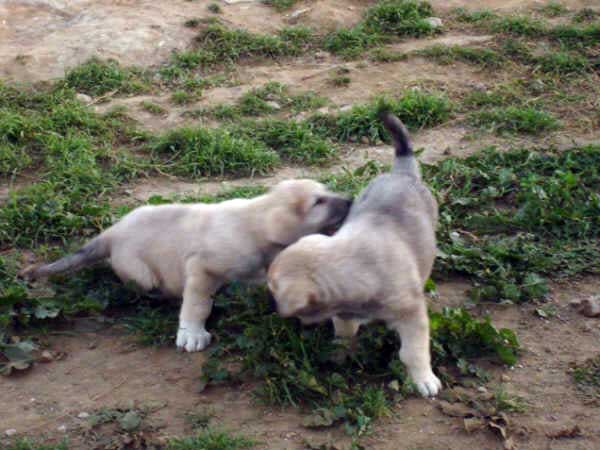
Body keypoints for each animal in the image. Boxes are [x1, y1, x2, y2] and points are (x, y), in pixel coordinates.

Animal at [21, 178, 352, 352]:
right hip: (141, 272)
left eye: (327, 192)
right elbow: (197, 305)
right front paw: (192, 334)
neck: (254, 223)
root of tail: (111, 232)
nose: (349, 200)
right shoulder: (202, 268)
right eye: (318, 202)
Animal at [268, 113, 440, 398]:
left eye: (273, 290)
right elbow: (345, 333)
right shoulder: (343, 314)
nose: (276, 310)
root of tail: (401, 173)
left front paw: (423, 379)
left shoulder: (412, 315)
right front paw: (339, 354)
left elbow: (413, 353)